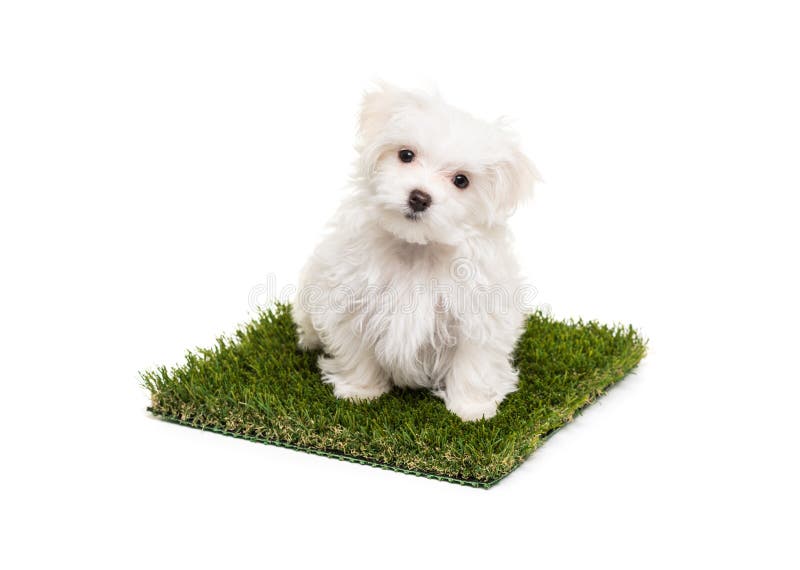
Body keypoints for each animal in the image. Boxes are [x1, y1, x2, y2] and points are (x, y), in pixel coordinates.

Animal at [294, 85, 536, 422]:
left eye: (461, 180)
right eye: (406, 155)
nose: (419, 197)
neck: (417, 247)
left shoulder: (479, 313)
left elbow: (473, 362)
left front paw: (471, 408)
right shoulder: (350, 297)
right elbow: (356, 348)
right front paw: (360, 390)